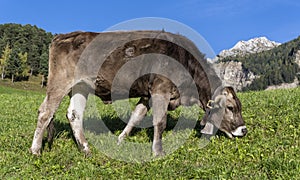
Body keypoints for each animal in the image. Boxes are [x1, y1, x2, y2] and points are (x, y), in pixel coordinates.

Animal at [29, 30, 247, 155]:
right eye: (230, 107)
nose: (243, 130)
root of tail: (62, 35)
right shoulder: (161, 89)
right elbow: (160, 122)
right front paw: (157, 152)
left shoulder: (147, 95)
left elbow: (136, 116)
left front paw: (120, 140)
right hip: (60, 82)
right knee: (45, 112)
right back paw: (35, 150)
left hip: (80, 86)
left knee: (74, 114)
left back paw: (86, 149)